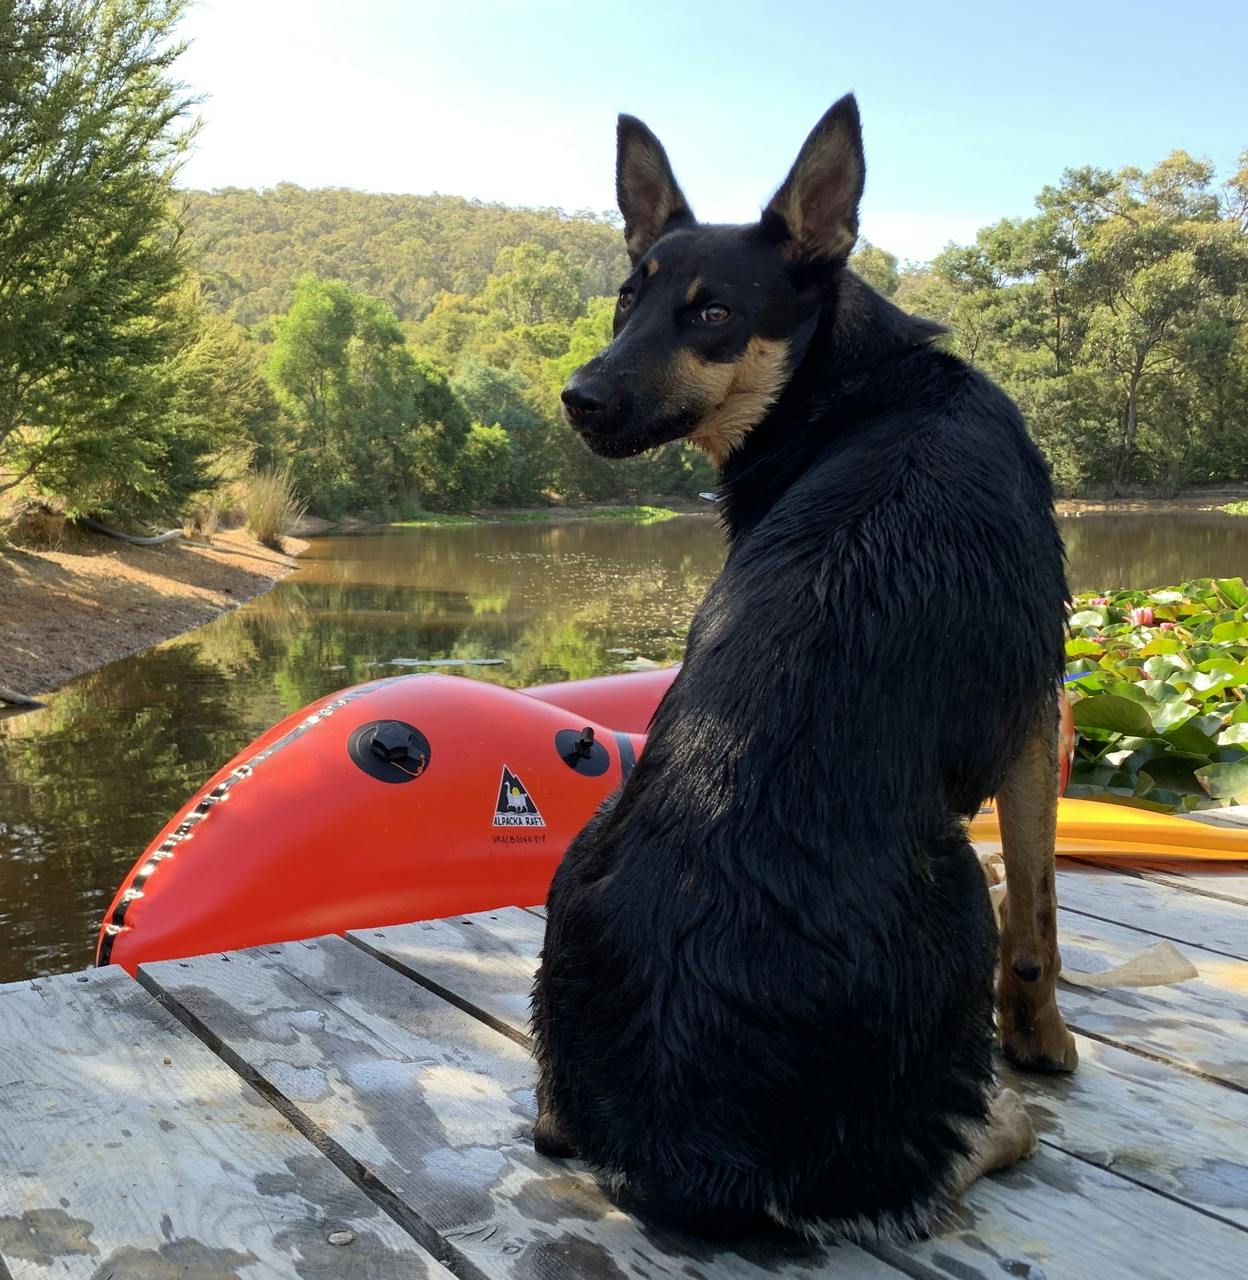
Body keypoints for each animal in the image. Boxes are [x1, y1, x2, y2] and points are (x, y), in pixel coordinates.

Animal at [527, 97, 1075, 1239]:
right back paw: (1005, 1117)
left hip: (575, 875)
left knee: (553, 1121)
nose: (578, 398)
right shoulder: (1033, 703)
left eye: (711, 314)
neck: (853, 382)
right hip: (951, 878)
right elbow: (1040, 917)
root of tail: (691, 1143)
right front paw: (1044, 1042)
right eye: (628, 301)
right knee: (936, 1156)